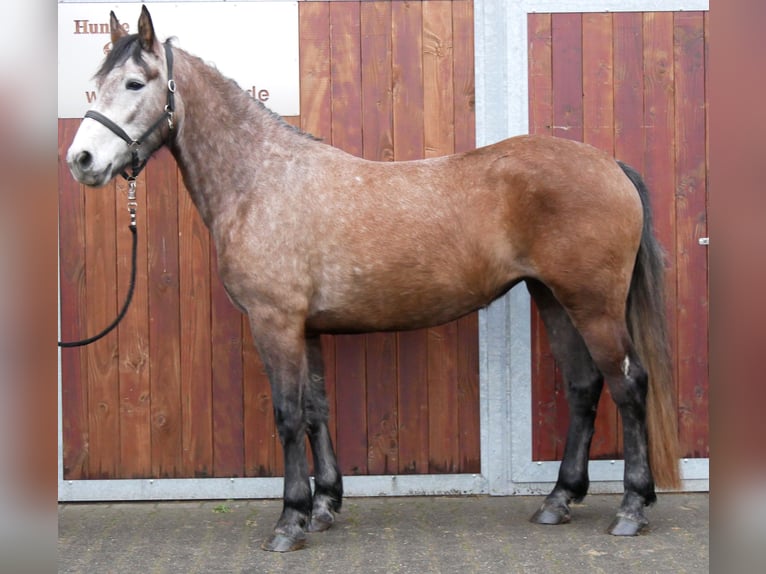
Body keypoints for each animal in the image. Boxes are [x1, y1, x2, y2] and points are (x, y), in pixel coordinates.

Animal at [66, 6, 680, 552]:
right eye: (94, 86)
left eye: (135, 82)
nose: (83, 160)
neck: (262, 179)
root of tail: (610, 165)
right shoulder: (307, 329)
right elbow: (316, 411)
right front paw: (323, 508)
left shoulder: (275, 324)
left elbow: (288, 416)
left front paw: (289, 522)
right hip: (553, 298)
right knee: (584, 386)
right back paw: (558, 499)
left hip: (593, 305)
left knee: (629, 386)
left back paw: (631, 508)